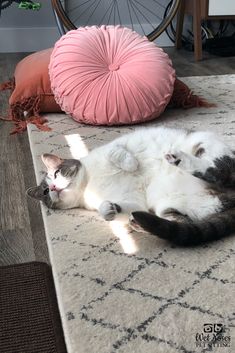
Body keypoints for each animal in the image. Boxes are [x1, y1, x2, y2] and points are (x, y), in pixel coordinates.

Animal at [26, 126, 235, 245]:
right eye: (45, 191)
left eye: (56, 173)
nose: (53, 188)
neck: (88, 183)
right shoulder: (131, 200)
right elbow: (116, 208)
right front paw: (109, 210)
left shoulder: (112, 147)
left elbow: (116, 153)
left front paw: (131, 164)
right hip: (170, 205)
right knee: (181, 223)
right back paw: (139, 223)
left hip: (204, 144)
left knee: (221, 170)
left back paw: (178, 158)